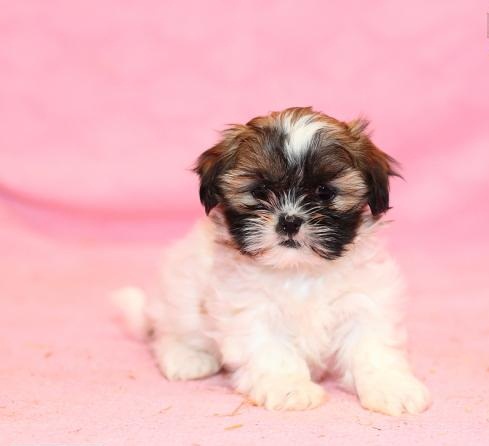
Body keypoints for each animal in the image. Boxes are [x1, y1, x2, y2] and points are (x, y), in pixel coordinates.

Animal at [117, 107, 431, 415]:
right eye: (260, 191)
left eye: (324, 192)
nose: (289, 221)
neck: (298, 270)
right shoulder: (251, 308)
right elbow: (271, 350)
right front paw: (289, 387)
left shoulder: (364, 299)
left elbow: (372, 345)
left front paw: (391, 387)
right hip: (180, 297)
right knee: (166, 333)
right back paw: (187, 357)